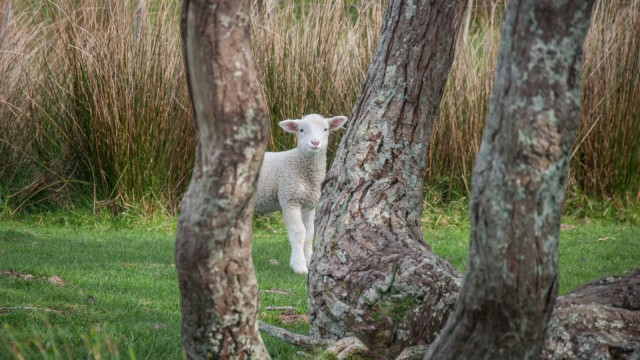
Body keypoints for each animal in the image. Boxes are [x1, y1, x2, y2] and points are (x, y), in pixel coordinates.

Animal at [254, 114, 348, 274]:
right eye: (301, 130)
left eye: (325, 129)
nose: (315, 143)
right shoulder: (290, 200)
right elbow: (299, 233)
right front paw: (299, 266)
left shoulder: (310, 205)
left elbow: (309, 234)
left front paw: (309, 260)